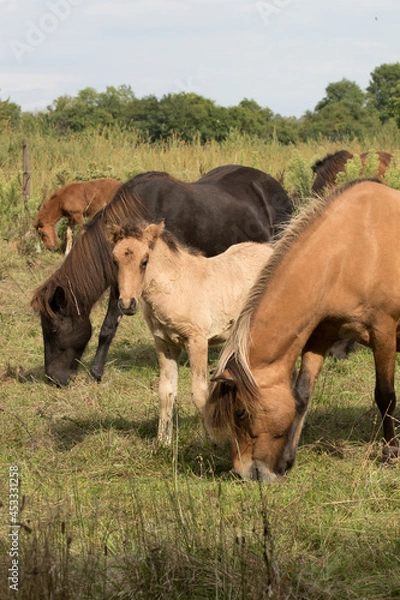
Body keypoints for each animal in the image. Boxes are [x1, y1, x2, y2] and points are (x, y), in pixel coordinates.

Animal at [32, 166, 294, 386]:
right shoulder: (122, 281)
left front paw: (94, 374)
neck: (143, 209)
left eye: (53, 330)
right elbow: (108, 327)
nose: (53, 378)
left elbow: (108, 328)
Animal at [108, 221, 274, 446]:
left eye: (144, 261)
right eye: (115, 261)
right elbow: (166, 391)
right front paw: (162, 443)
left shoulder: (197, 341)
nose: (126, 304)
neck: (174, 287)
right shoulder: (165, 344)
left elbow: (200, 392)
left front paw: (213, 441)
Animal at [205, 179, 400, 482]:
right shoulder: (321, 335)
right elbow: (301, 396)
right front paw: (286, 459)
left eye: (240, 412)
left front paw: (390, 453)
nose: (242, 473)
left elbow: (386, 396)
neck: (353, 249)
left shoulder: (384, 333)